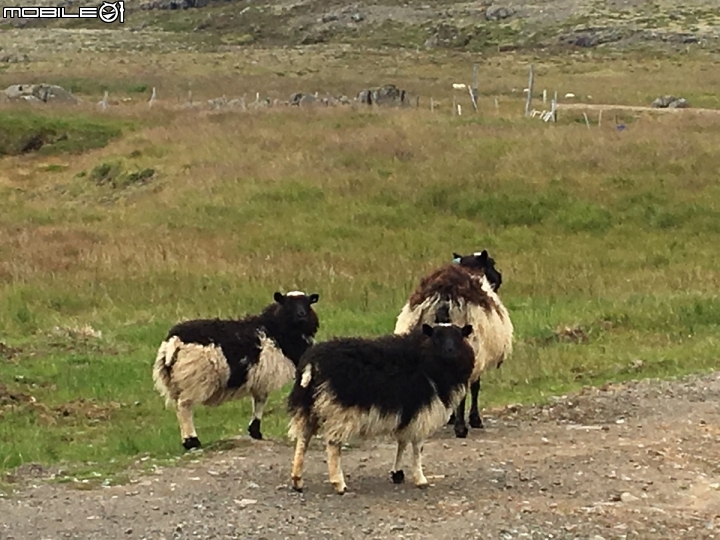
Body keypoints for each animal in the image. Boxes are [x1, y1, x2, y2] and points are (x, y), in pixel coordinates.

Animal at [154, 288, 320, 450]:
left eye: (307, 303)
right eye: (288, 304)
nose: (301, 315)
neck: (275, 331)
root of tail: (175, 341)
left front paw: (254, 431)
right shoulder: (264, 376)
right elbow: (260, 401)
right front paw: (255, 431)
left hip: (174, 381)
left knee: (178, 407)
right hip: (195, 379)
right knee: (184, 407)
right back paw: (192, 441)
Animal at [286, 320, 478, 494]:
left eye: (459, 337)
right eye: (437, 337)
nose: (450, 351)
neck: (426, 359)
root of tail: (312, 364)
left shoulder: (407, 411)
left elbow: (402, 442)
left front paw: (397, 473)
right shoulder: (421, 410)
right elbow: (417, 447)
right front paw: (420, 479)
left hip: (310, 407)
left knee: (303, 439)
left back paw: (297, 480)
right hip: (338, 410)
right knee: (333, 445)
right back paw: (339, 484)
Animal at [394, 249, 512, 438]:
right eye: (492, 263)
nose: (500, 276)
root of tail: (444, 297)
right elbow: (475, 386)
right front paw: (474, 420)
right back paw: (460, 428)